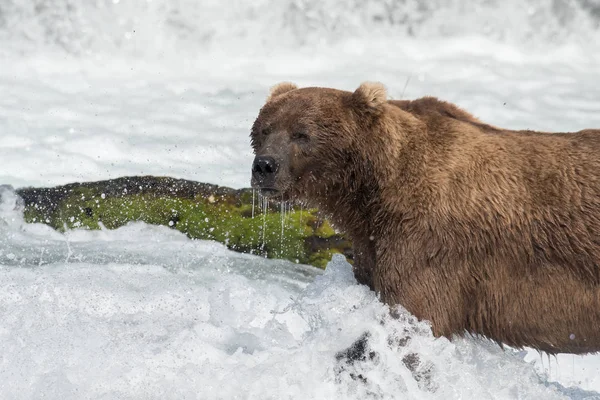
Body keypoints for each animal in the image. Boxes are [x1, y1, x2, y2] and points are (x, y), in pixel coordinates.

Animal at [250, 80, 600, 354]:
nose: (264, 166)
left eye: (301, 134)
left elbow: (415, 316)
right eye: (265, 129)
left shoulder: (428, 242)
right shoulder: (373, 244)